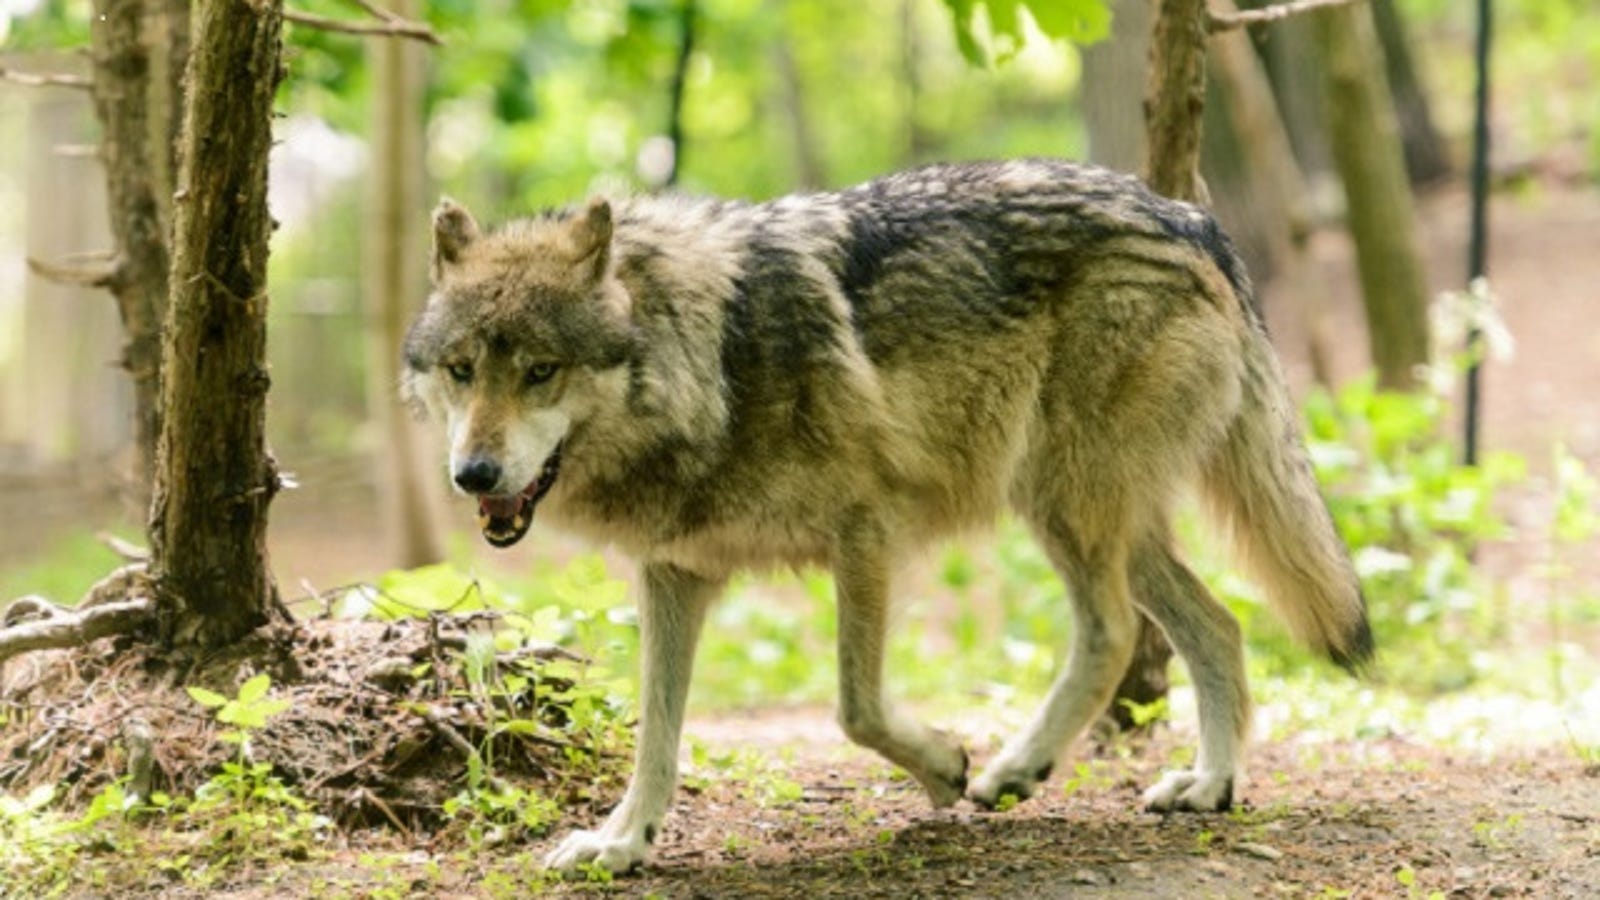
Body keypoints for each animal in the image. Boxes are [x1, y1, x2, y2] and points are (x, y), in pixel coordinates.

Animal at [403, 159, 1376, 871]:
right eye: (461, 370)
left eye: (541, 371)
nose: (472, 474)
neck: (711, 356)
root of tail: (1189, 217)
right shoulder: (675, 573)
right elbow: (658, 734)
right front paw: (621, 844)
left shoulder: (867, 531)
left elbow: (856, 708)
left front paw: (947, 765)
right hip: (1103, 519)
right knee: (1219, 626)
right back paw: (1209, 786)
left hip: (1064, 504)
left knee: (1110, 635)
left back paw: (1016, 768)